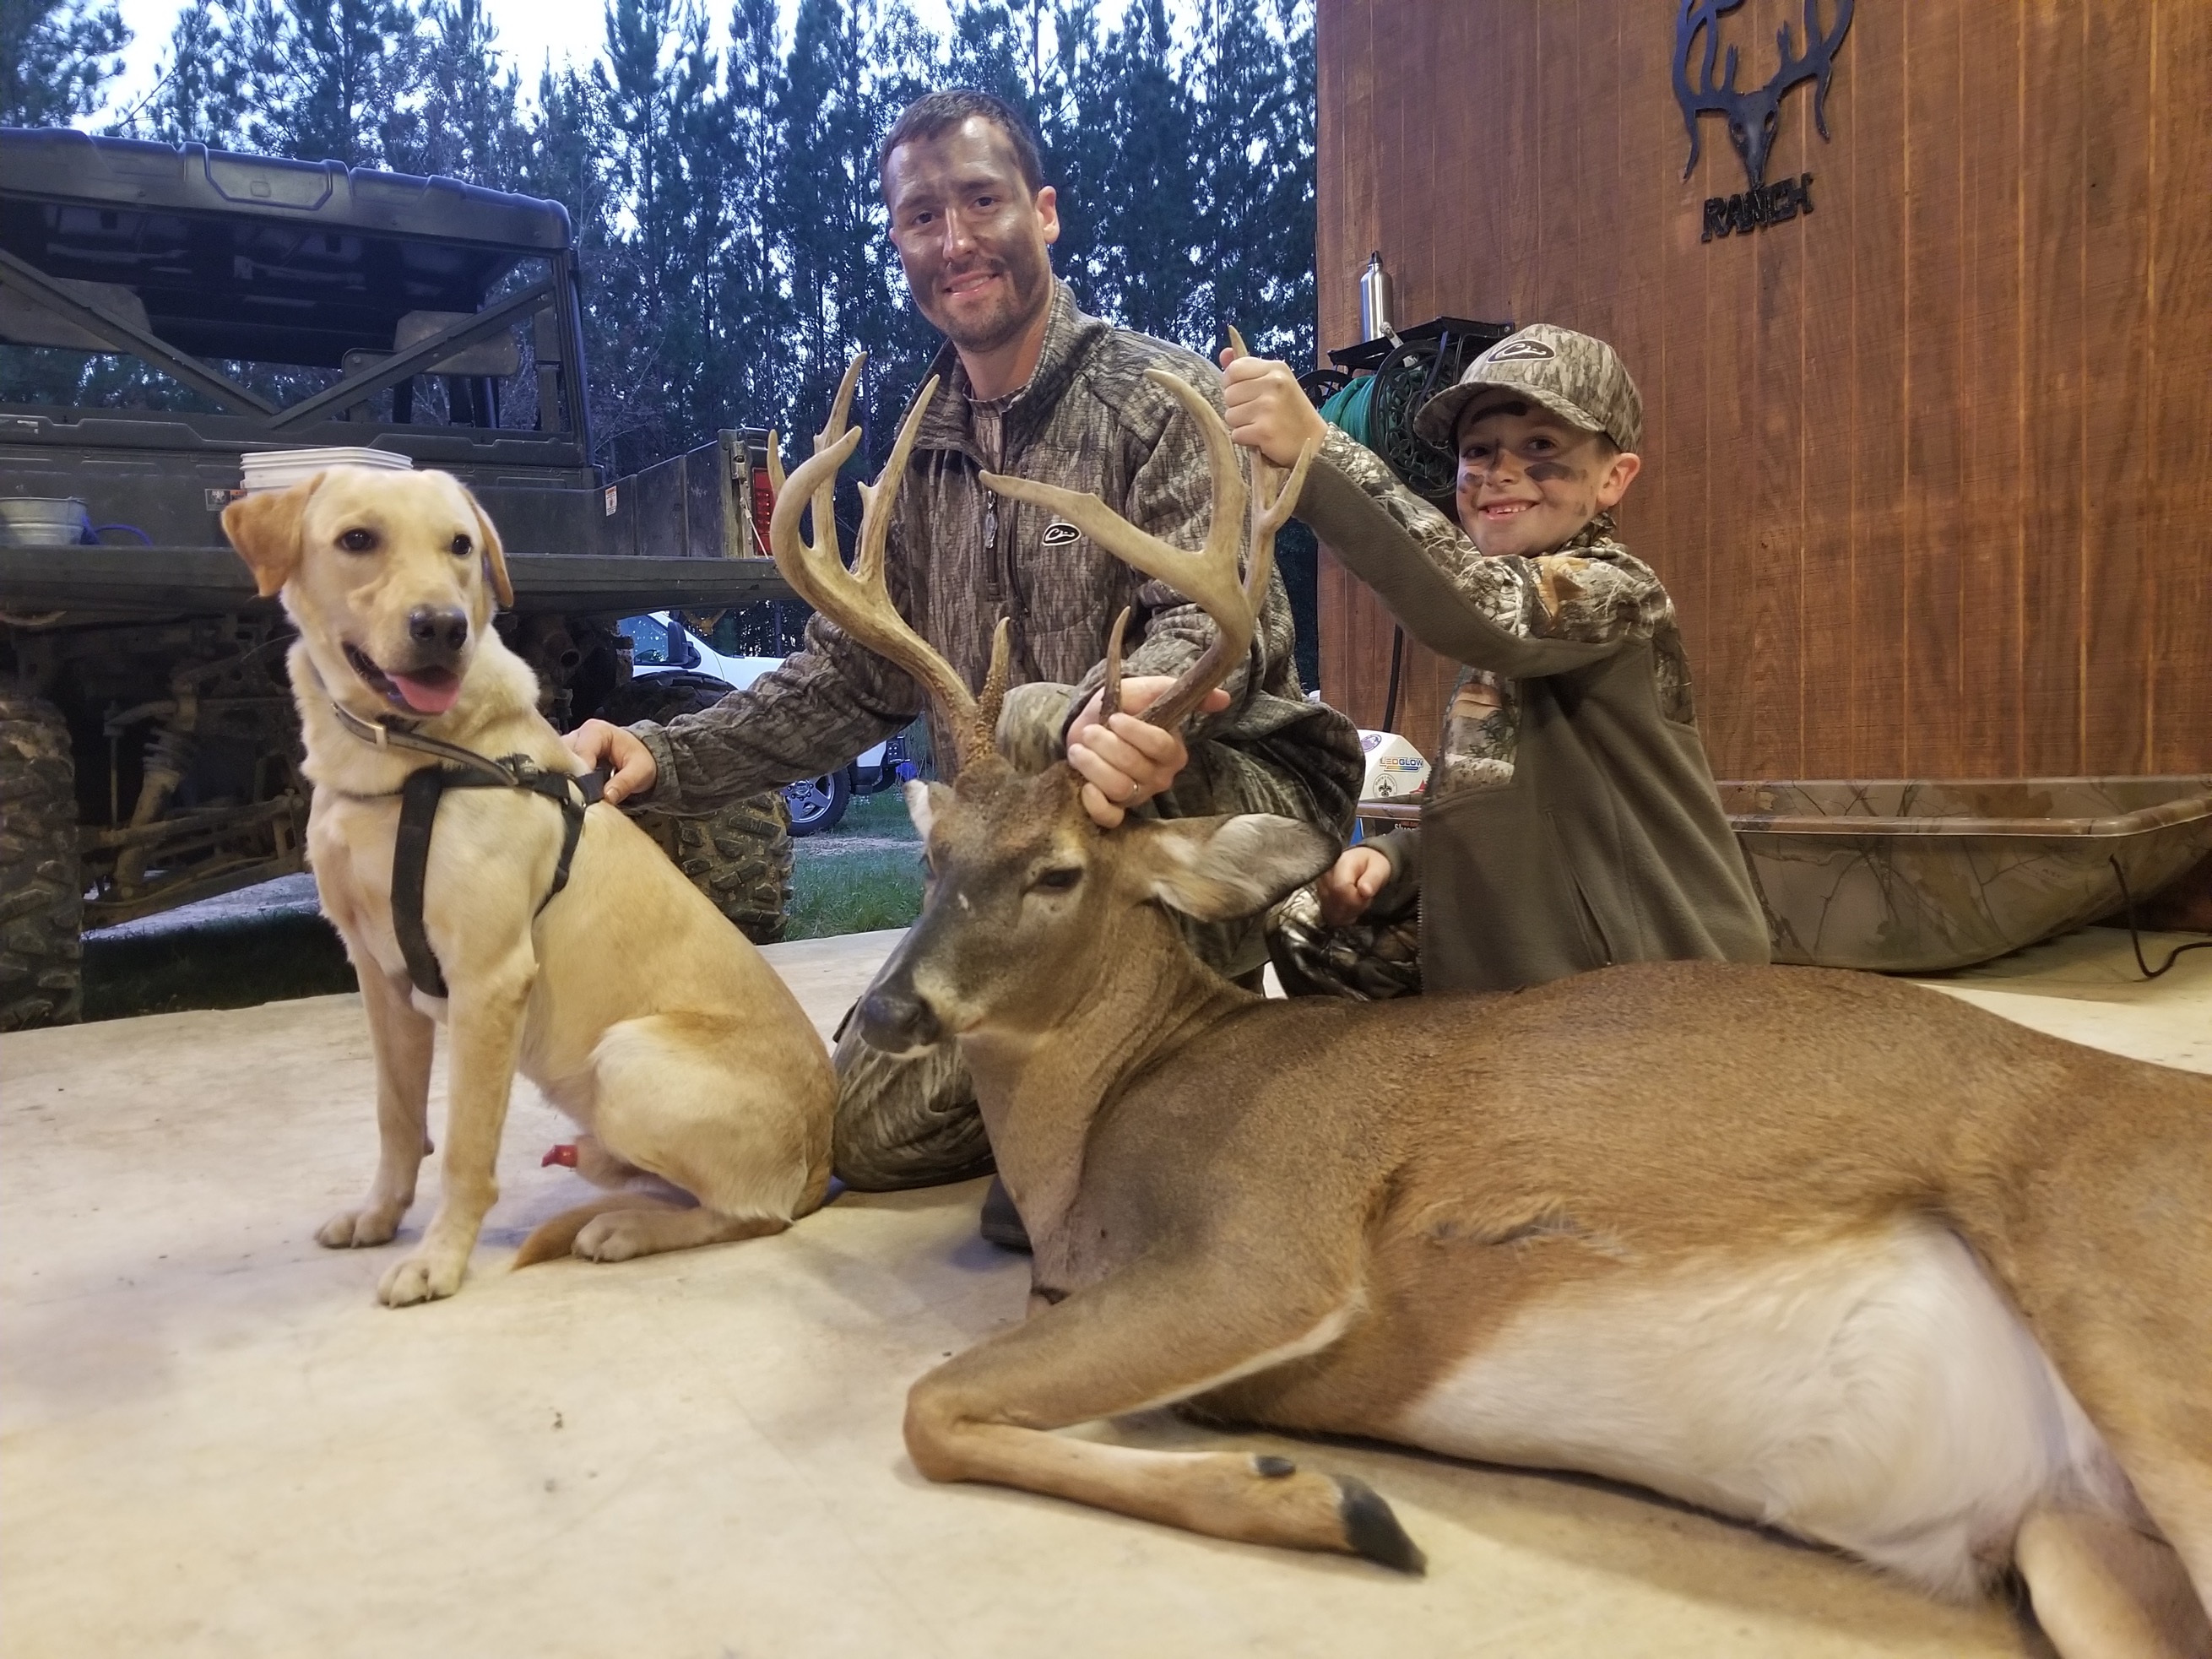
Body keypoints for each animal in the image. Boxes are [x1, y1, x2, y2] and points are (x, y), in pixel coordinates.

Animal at [224, 466, 836, 1306]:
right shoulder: (379, 976)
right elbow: (395, 1118)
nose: (442, 627)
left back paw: (624, 1226)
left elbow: (462, 1148)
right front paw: (380, 1214)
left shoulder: (488, 980)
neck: (409, 764)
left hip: (628, 1058)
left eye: (461, 545)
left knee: (751, 1211)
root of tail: (822, 1152)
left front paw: (439, 1259)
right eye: (357, 539)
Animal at [764, 350, 2212, 1659]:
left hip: (2129, 1299)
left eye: (1059, 871)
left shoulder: (1269, 1244)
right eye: (935, 860)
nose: (883, 1016)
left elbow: (933, 1406)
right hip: (2075, 1538)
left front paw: (1338, 1504)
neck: (1111, 1119)